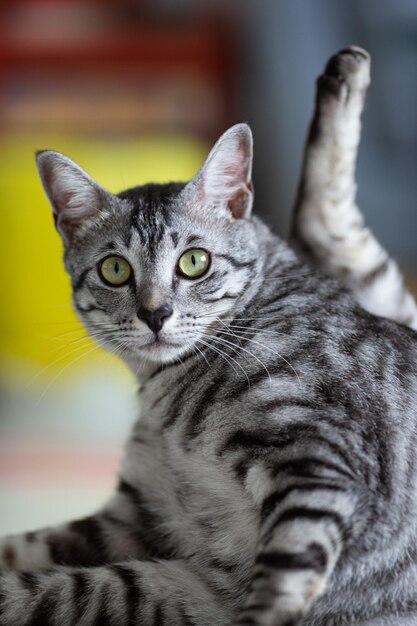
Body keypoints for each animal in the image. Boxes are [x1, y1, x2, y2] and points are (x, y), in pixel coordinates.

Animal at [0, 45, 416, 624]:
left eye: (194, 262)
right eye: (114, 270)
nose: (155, 314)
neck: (167, 400)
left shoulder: (319, 455)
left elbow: (286, 572)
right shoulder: (135, 525)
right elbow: (25, 558)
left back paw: (346, 73)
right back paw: (343, 76)